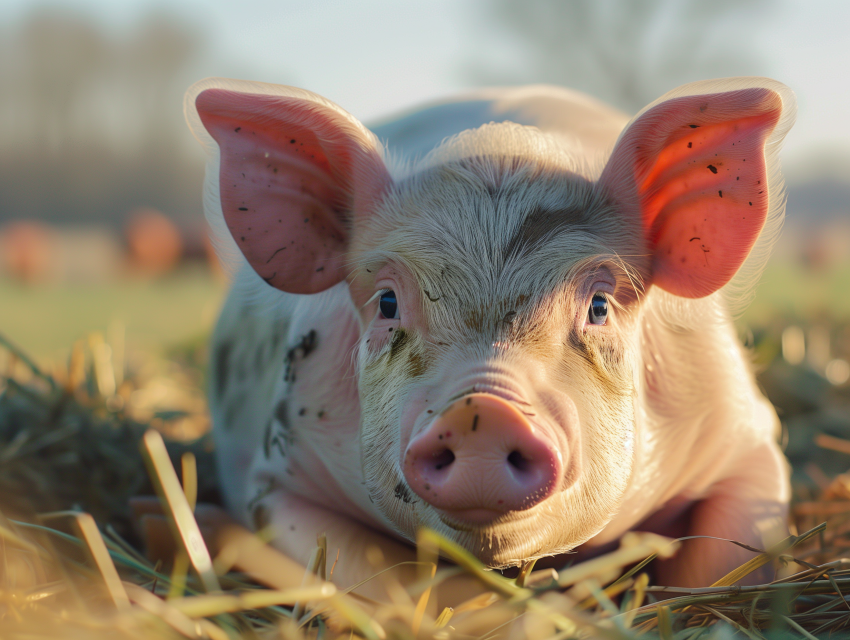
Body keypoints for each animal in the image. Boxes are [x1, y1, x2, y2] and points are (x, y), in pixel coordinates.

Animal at [185, 77, 795, 590]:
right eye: (387, 302)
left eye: (599, 306)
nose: (481, 410)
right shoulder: (279, 475)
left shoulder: (746, 439)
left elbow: (719, 562)